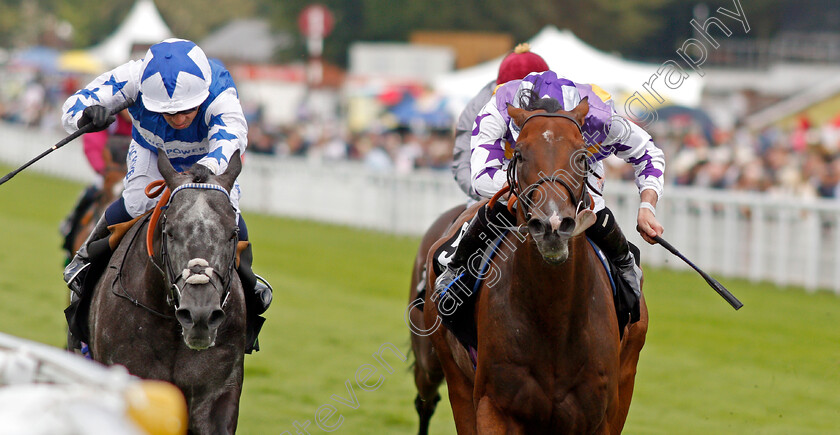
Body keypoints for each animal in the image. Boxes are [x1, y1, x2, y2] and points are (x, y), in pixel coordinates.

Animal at [426, 100, 648, 434]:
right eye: (519, 154)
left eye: (582, 155)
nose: (552, 225)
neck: (554, 319)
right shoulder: (494, 405)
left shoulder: (601, 415)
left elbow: (645, 149)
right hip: (456, 377)